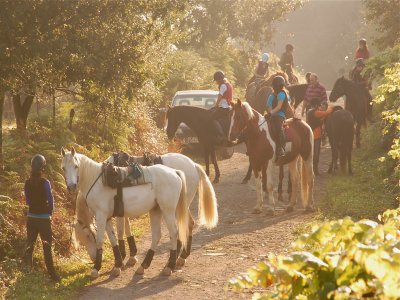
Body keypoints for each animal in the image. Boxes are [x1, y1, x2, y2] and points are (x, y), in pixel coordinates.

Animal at [61, 149, 190, 278]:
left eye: (76, 166)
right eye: (63, 168)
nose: (71, 186)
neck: (96, 181)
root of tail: (174, 172)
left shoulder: (101, 216)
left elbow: (101, 240)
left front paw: (96, 268)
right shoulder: (107, 218)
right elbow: (113, 239)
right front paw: (118, 265)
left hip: (168, 210)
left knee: (174, 233)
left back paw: (170, 266)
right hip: (155, 210)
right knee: (157, 236)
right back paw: (143, 266)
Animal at [74, 152, 220, 270]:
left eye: (89, 236)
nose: (93, 259)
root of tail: (193, 165)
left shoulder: (117, 211)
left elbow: (121, 231)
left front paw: (124, 256)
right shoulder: (122, 210)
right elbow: (127, 229)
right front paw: (131, 255)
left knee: (185, 225)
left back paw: (178, 258)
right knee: (188, 224)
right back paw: (181, 256)